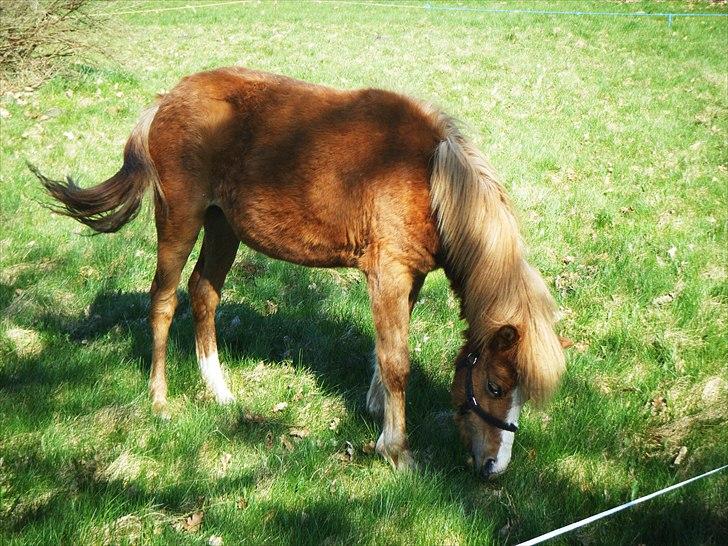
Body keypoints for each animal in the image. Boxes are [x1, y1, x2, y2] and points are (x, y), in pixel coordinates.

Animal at [31, 67, 568, 476]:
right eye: (495, 387)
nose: (494, 469)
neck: (430, 177)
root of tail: (167, 100)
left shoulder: (407, 278)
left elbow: (384, 351)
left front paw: (376, 411)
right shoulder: (389, 274)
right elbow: (397, 361)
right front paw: (396, 450)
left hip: (223, 226)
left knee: (203, 293)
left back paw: (220, 391)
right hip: (180, 220)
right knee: (164, 300)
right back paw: (160, 401)